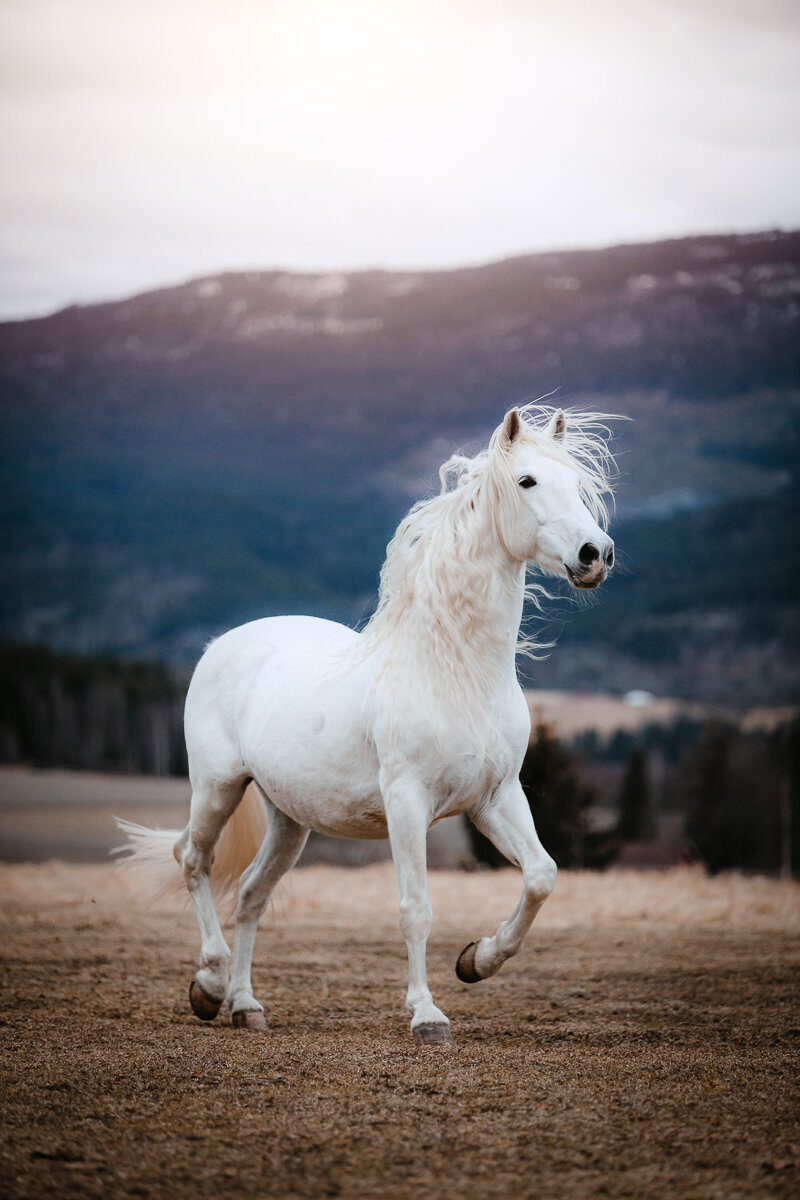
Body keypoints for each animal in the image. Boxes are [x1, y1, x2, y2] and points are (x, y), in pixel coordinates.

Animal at [120, 403, 618, 1041]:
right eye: (527, 481)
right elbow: (416, 908)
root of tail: (221, 645)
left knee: (252, 894)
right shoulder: (407, 803)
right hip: (217, 786)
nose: (594, 554)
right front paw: (428, 1015)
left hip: (289, 819)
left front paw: (475, 961)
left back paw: (245, 1006)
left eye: (578, 485)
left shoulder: (496, 797)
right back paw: (208, 984)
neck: (456, 672)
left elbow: (541, 876)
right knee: (193, 860)